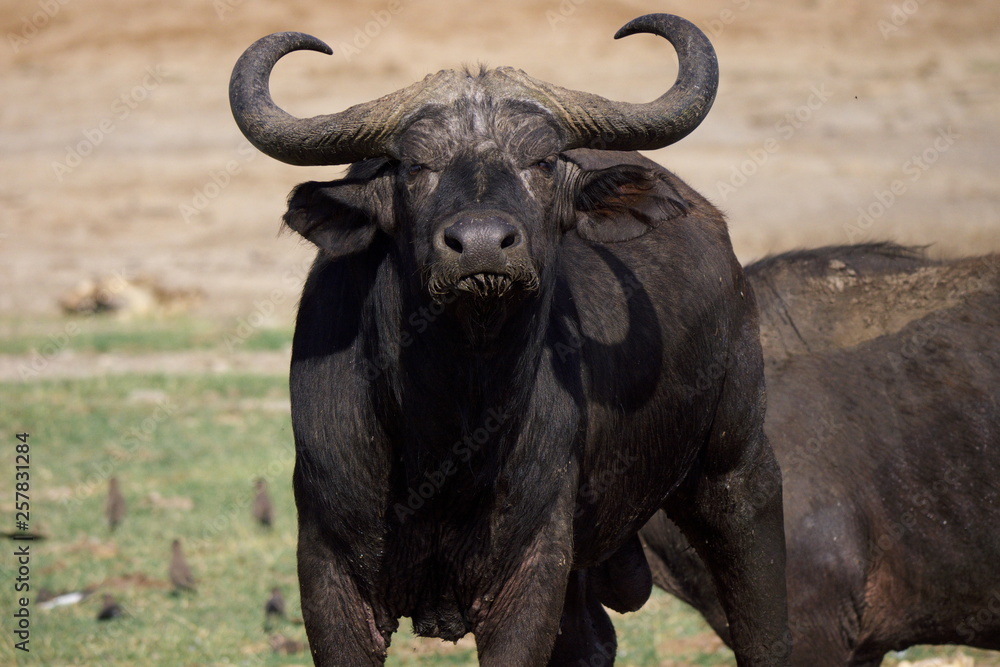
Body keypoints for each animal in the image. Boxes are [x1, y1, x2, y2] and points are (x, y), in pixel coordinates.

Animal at [231, 14, 789, 665]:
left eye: (542, 162)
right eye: (415, 166)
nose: (480, 245)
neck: (453, 424)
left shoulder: (530, 570)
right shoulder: (329, 573)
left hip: (737, 470)